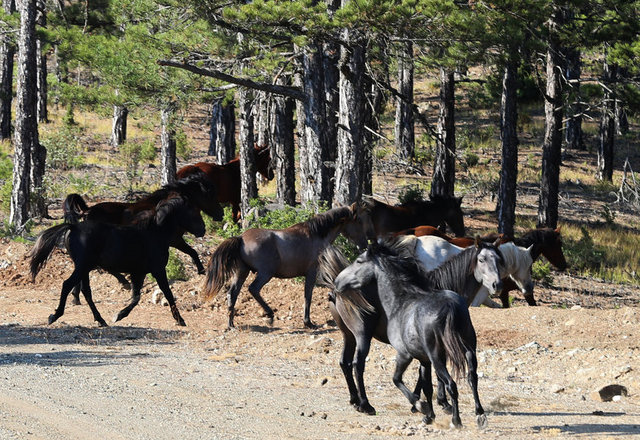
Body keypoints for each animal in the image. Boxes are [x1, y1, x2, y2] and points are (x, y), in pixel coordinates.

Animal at [29, 195, 205, 326]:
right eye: (193, 211)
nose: (202, 230)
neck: (154, 233)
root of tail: (73, 227)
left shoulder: (138, 273)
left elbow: (136, 297)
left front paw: (119, 315)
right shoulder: (158, 270)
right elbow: (167, 293)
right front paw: (180, 320)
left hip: (84, 268)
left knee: (86, 291)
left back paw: (101, 320)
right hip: (82, 266)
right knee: (67, 285)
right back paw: (54, 316)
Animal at [202, 205, 368, 328]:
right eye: (359, 221)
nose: (365, 244)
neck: (316, 235)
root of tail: (241, 238)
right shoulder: (312, 272)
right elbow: (308, 295)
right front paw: (308, 322)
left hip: (242, 272)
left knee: (232, 294)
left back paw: (231, 324)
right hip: (265, 273)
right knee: (253, 289)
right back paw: (269, 315)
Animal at [320, 241, 496, 430]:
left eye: (359, 261)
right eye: (482, 259)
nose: (496, 284)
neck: (400, 301)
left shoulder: (408, 355)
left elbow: (400, 380)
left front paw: (422, 406)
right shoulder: (423, 358)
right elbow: (426, 385)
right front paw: (428, 410)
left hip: (359, 337)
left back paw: (363, 404)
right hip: (360, 336)